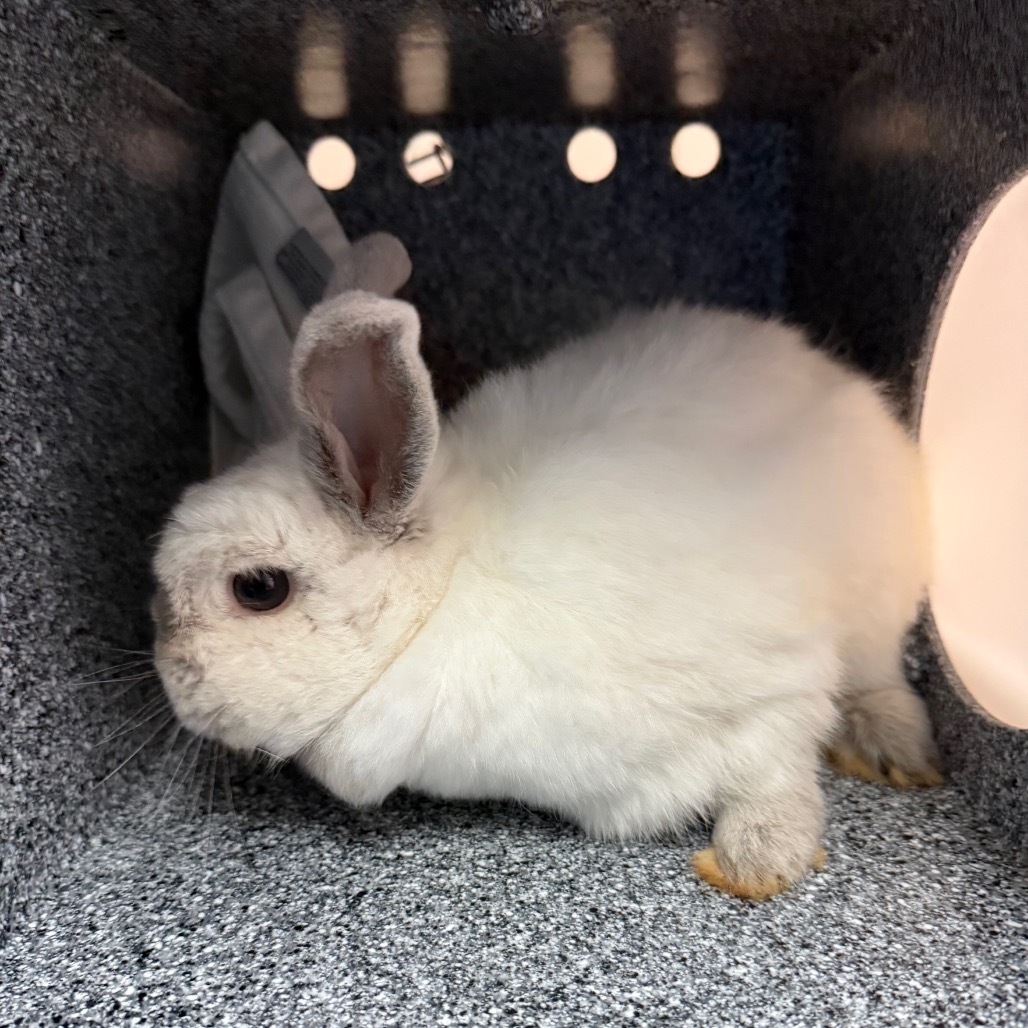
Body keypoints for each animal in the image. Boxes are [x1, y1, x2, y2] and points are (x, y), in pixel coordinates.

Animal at [152, 290, 942, 900]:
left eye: (258, 589)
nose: (168, 675)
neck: (442, 599)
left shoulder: (770, 680)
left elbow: (776, 771)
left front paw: (753, 864)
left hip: (877, 598)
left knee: (878, 676)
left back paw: (896, 750)